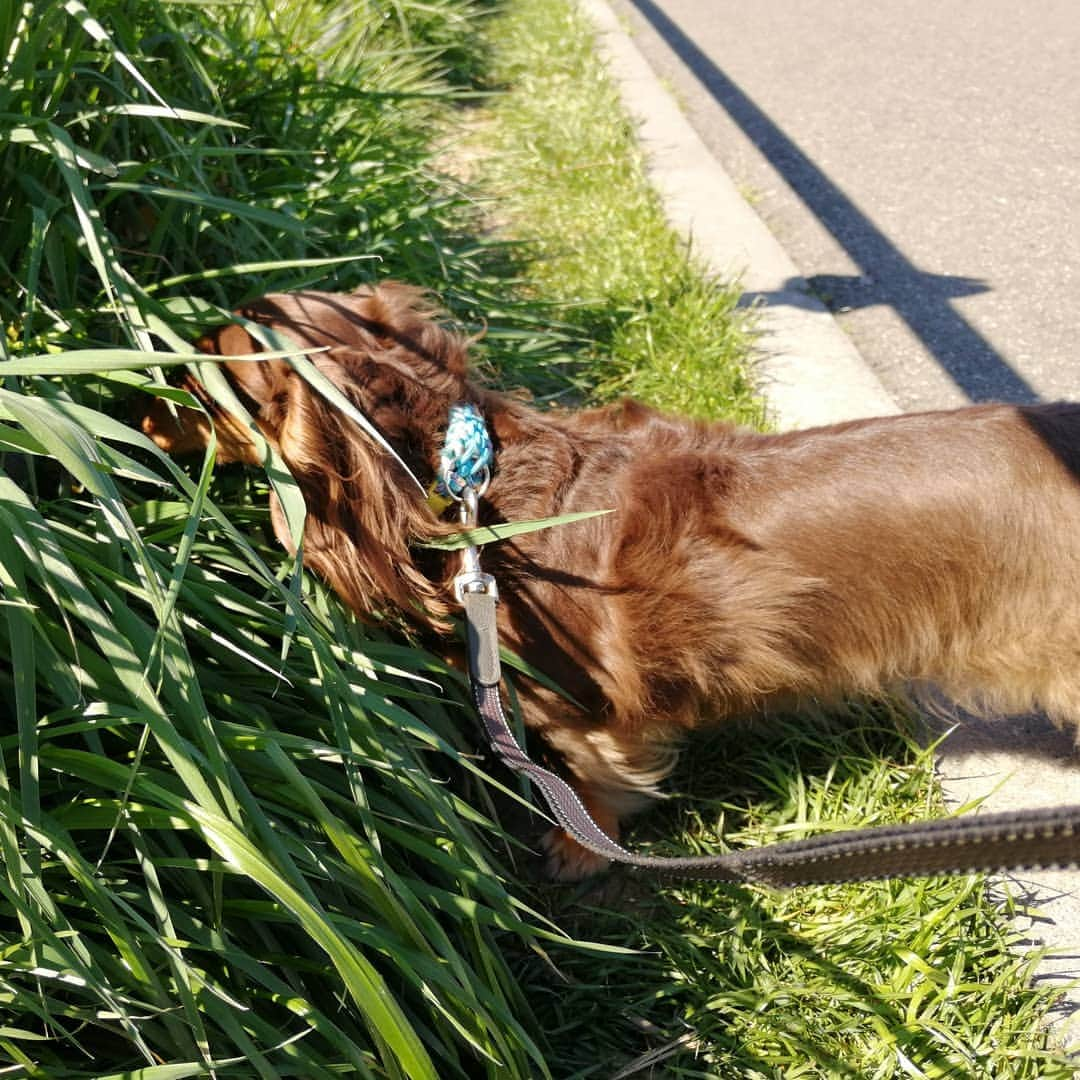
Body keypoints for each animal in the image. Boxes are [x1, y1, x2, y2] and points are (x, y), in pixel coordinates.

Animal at [139, 285, 1080, 876]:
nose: (141, 413)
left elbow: (591, 782)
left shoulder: (589, 715)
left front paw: (579, 848)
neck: (478, 491)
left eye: (199, 378)